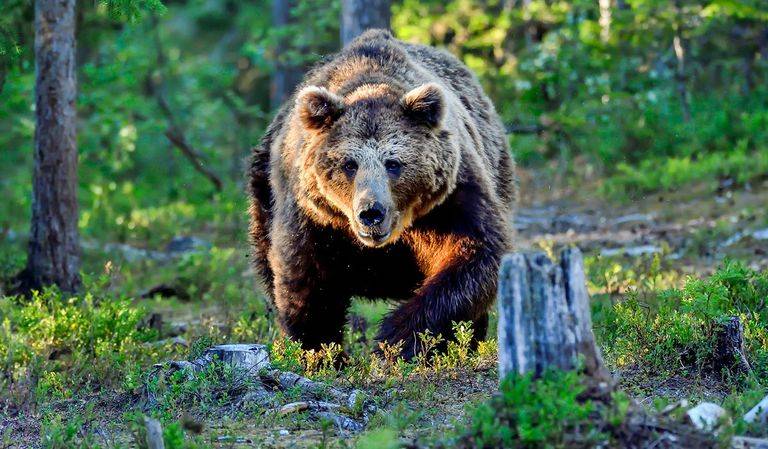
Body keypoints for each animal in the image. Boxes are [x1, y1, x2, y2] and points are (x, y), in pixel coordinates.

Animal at [248, 29, 516, 360]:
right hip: (263, 194)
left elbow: (473, 255)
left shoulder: (450, 201)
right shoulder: (314, 214)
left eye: (393, 163)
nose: (371, 212)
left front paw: (396, 341)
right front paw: (319, 351)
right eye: (349, 164)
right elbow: (305, 276)